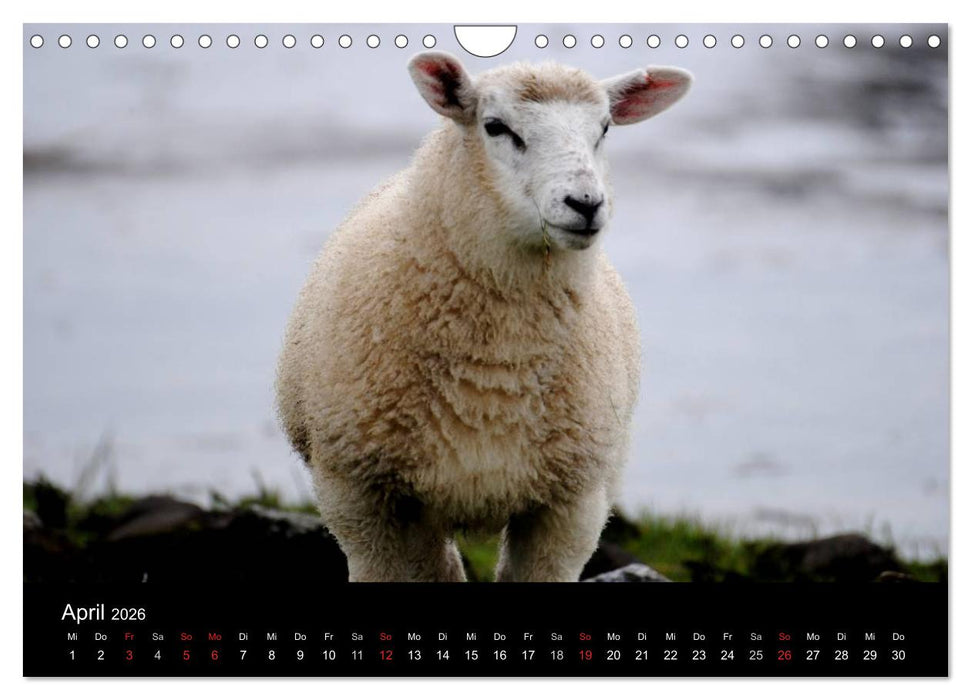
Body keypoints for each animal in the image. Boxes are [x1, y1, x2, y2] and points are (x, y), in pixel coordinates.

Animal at [276, 52, 692, 582]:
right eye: (495, 127)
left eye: (603, 129)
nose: (586, 204)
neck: (496, 369)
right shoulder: (361, 494)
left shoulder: (571, 504)